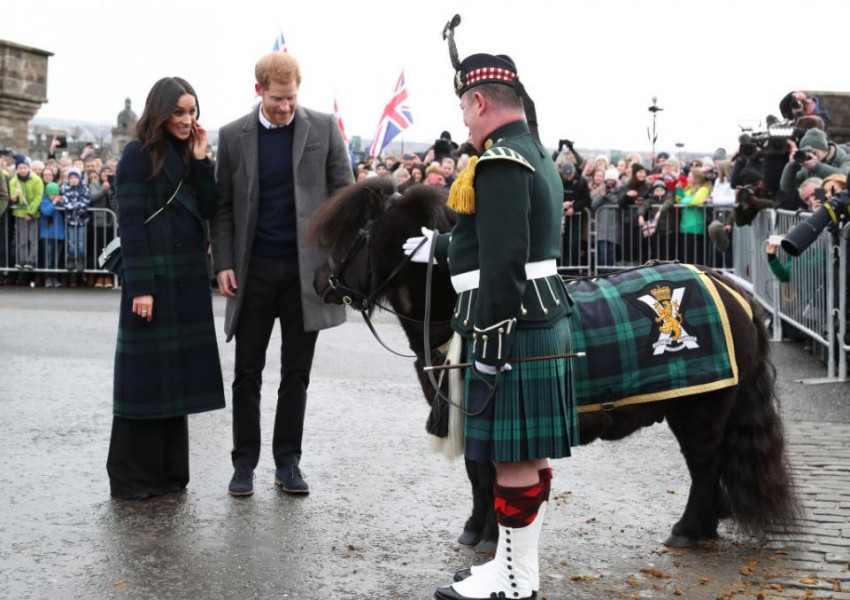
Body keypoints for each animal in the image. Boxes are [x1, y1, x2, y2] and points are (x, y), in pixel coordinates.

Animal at [308, 182, 800, 552]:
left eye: (353, 234)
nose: (318, 283)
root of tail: (732, 290)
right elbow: (476, 476)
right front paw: (475, 529)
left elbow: (490, 476)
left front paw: (492, 538)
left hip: (701, 408)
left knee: (705, 466)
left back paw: (688, 530)